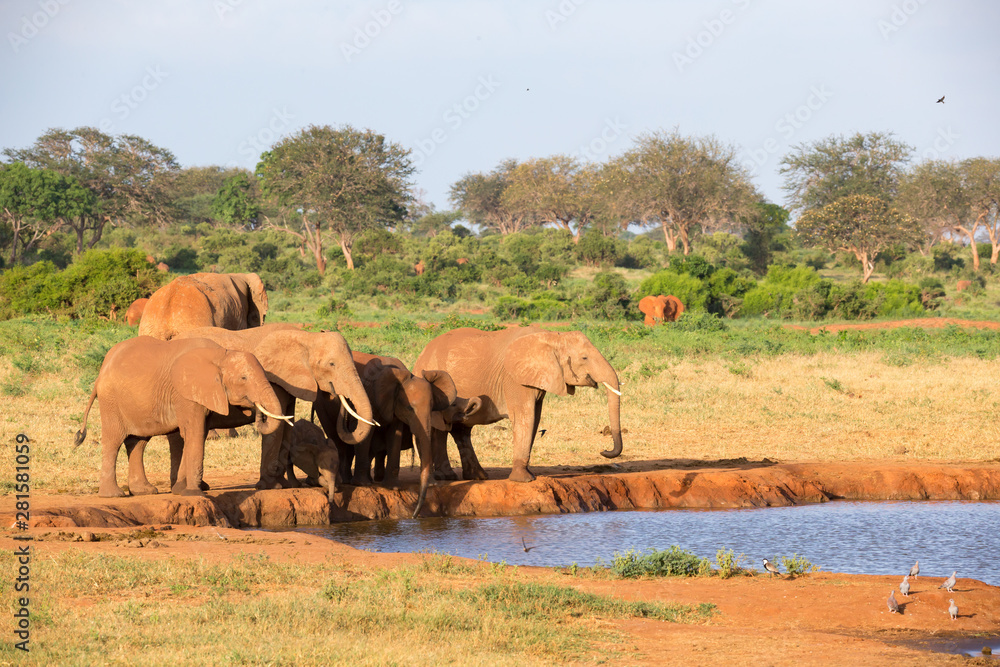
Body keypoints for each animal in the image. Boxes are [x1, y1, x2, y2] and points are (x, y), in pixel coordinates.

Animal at [74, 336, 288, 498]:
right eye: (243, 378)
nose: (256, 408)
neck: (221, 355)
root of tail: (102, 370)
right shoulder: (186, 393)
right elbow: (195, 433)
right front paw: (195, 494)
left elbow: (194, 435)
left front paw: (180, 490)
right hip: (111, 401)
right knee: (114, 441)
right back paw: (113, 495)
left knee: (138, 442)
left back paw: (144, 491)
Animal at [175, 323, 376, 490]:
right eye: (331, 364)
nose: (340, 395)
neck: (306, 337)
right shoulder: (275, 379)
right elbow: (277, 427)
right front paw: (271, 487)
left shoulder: (291, 384)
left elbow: (287, 424)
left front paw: (285, 485)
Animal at [412, 326, 623, 483]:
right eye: (584, 358)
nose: (604, 451)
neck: (551, 336)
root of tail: (421, 355)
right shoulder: (514, 379)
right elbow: (525, 417)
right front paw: (524, 480)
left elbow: (535, 419)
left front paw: (528, 475)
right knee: (441, 428)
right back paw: (447, 477)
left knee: (461, 429)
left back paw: (477, 476)